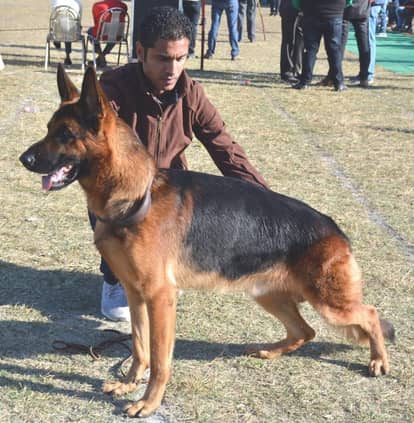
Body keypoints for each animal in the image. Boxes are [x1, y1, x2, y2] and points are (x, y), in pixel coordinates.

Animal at [20, 65, 394, 418]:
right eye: (49, 129)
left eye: (65, 134)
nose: (24, 159)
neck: (136, 193)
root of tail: (333, 227)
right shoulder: (136, 295)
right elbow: (139, 347)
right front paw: (129, 384)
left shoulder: (160, 298)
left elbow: (159, 359)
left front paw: (149, 403)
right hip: (268, 295)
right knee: (305, 332)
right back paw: (270, 351)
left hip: (329, 304)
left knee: (370, 314)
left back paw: (378, 360)